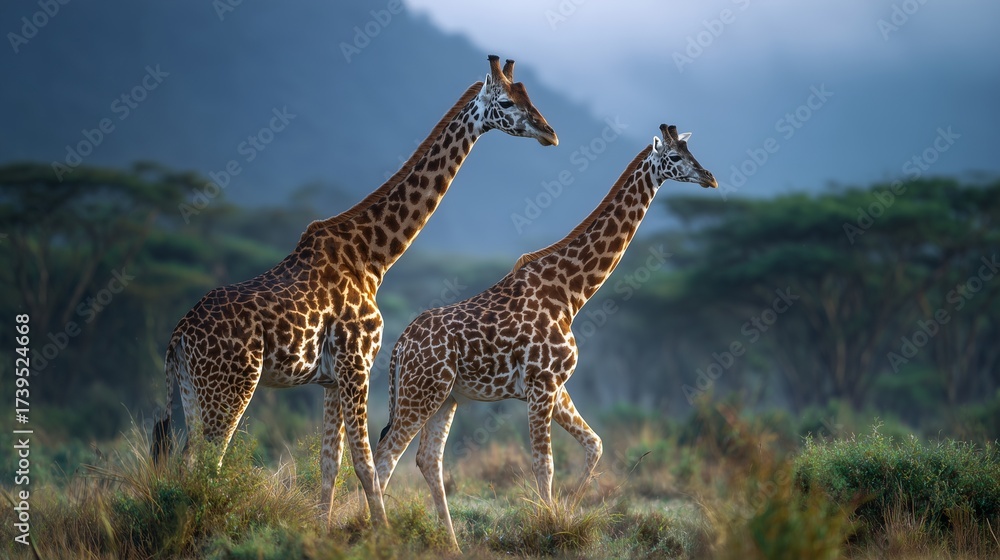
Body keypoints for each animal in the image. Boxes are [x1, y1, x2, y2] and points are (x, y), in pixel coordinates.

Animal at [151, 55, 558, 528]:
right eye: (508, 102)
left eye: (530, 95)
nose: (550, 132)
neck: (373, 256)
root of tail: (178, 335)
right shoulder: (357, 362)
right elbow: (365, 462)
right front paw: (382, 534)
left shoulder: (330, 377)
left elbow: (331, 464)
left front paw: (322, 530)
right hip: (231, 387)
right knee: (209, 462)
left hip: (192, 390)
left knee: (187, 460)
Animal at [373, 124, 716, 549]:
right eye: (675, 157)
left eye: (692, 151)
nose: (709, 177)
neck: (570, 294)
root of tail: (400, 346)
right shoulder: (542, 384)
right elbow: (544, 463)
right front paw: (547, 526)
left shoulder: (556, 384)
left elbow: (595, 444)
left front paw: (567, 514)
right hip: (420, 394)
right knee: (385, 456)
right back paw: (374, 532)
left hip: (445, 397)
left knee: (427, 459)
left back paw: (450, 542)